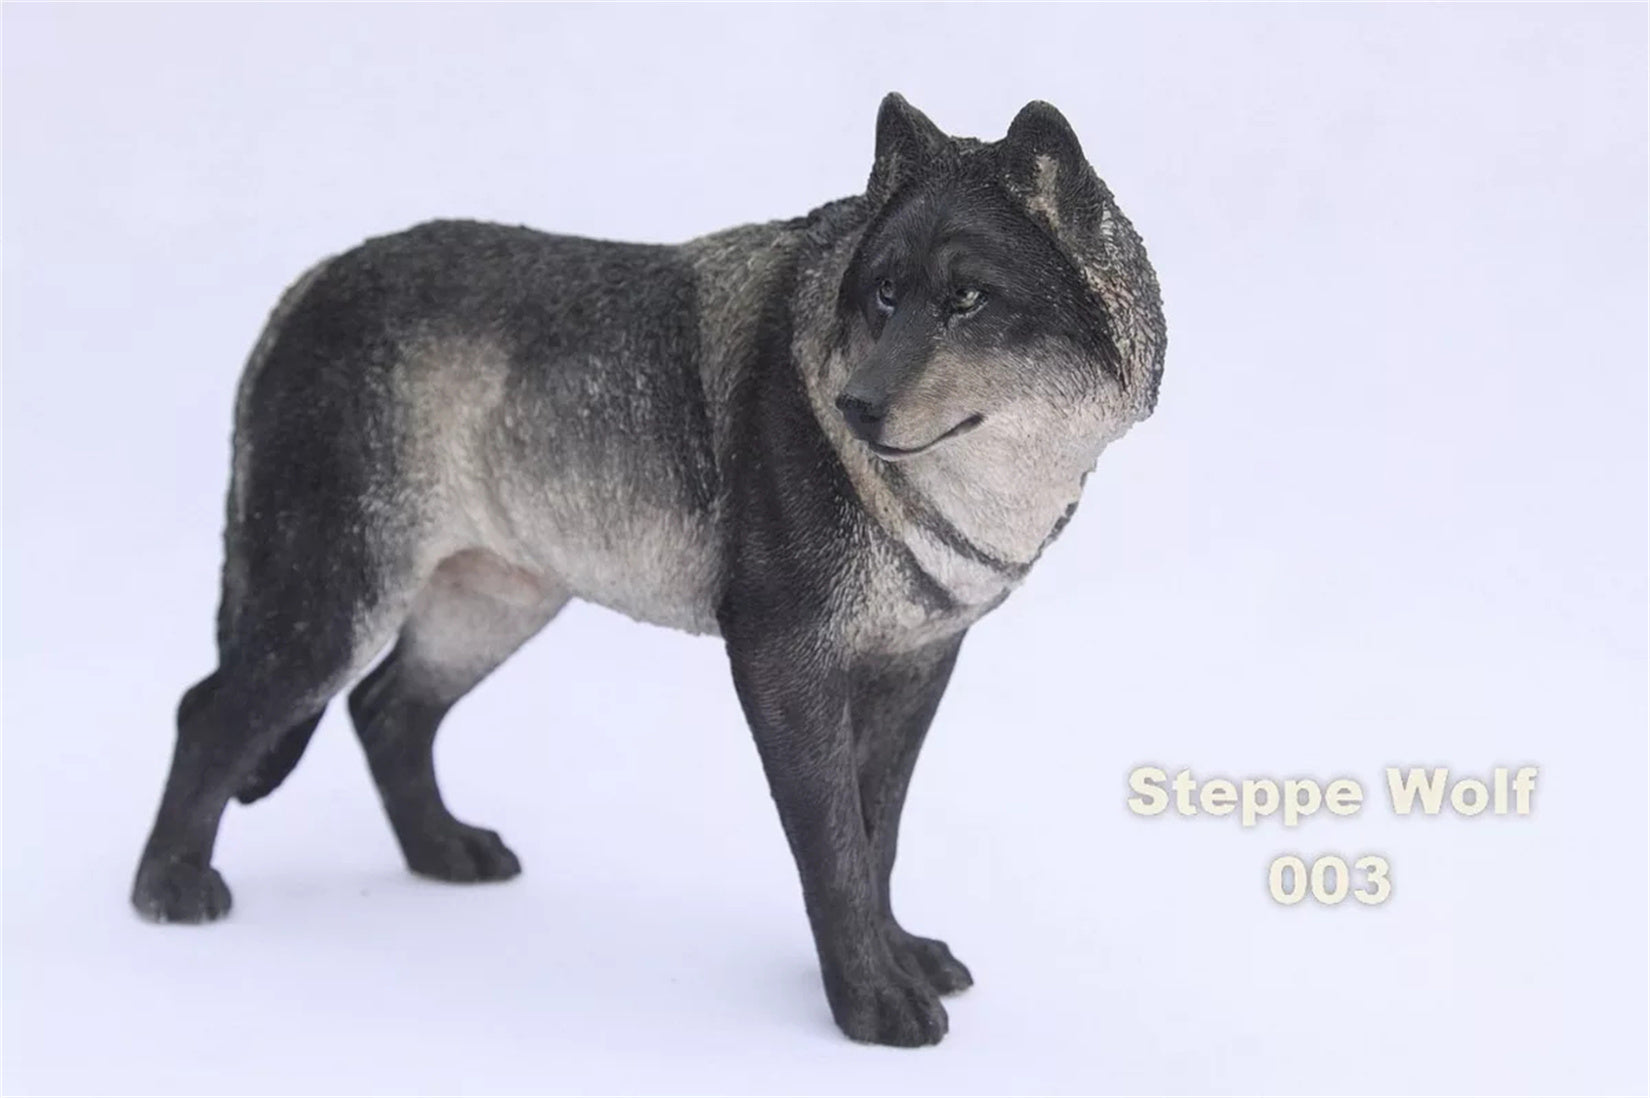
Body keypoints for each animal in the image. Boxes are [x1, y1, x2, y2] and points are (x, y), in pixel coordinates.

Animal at [131, 93, 1165, 1046]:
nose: (854, 405)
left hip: (493, 609)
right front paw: (871, 1002)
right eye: (883, 294)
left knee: (384, 710)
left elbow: (880, 839)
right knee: (211, 710)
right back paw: (169, 889)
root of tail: (307, 285)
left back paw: (443, 855)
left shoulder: (915, 669)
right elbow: (834, 852)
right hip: (337, 611)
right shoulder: (784, 668)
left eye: (968, 299)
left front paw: (897, 955)